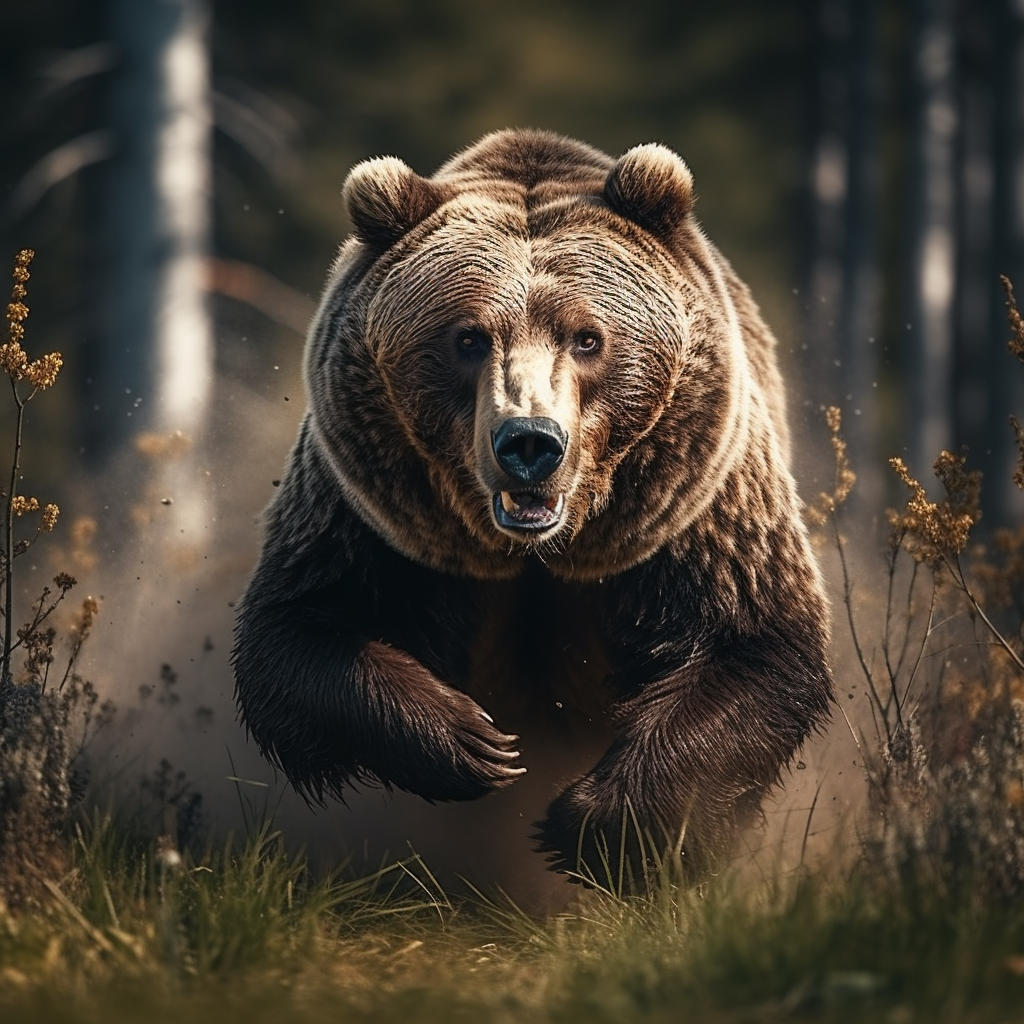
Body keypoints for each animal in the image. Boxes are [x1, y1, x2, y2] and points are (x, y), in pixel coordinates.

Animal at [232, 129, 833, 887]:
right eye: (467, 337)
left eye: (587, 337)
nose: (529, 442)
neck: (538, 553)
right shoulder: (365, 514)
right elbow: (294, 633)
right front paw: (475, 744)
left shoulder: (697, 510)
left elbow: (754, 644)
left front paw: (584, 825)